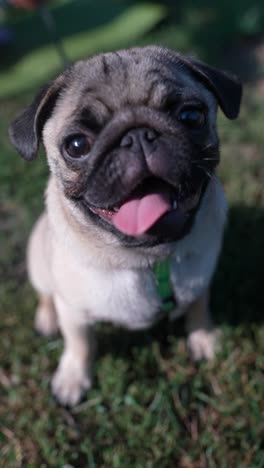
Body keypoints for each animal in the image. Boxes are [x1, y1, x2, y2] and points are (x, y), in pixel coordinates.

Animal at [9, 47, 242, 406]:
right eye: (76, 145)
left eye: (191, 117)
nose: (136, 136)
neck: (147, 259)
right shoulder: (73, 311)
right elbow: (80, 343)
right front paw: (73, 379)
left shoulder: (200, 282)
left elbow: (198, 309)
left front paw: (204, 340)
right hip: (38, 257)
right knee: (46, 293)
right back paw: (46, 319)